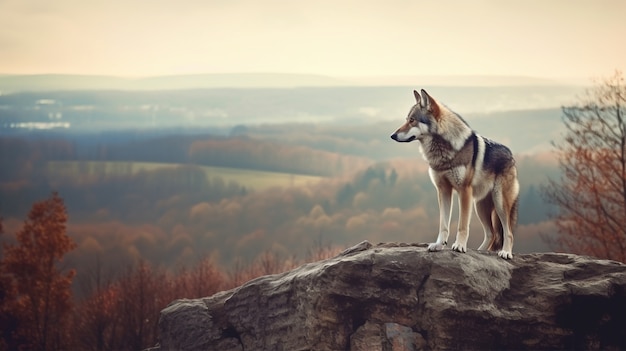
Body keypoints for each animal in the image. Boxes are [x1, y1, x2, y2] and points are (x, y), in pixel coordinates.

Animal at [390, 89, 516, 260]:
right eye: (407, 120)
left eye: (412, 120)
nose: (392, 135)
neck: (443, 151)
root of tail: (511, 155)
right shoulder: (443, 190)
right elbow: (443, 224)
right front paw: (439, 245)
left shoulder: (464, 191)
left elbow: (462, 225)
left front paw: (460, 246)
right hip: (480, 206)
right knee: (492, 234)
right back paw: (479, 251)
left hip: (499, 203)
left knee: (508, 232)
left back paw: (506, 253)